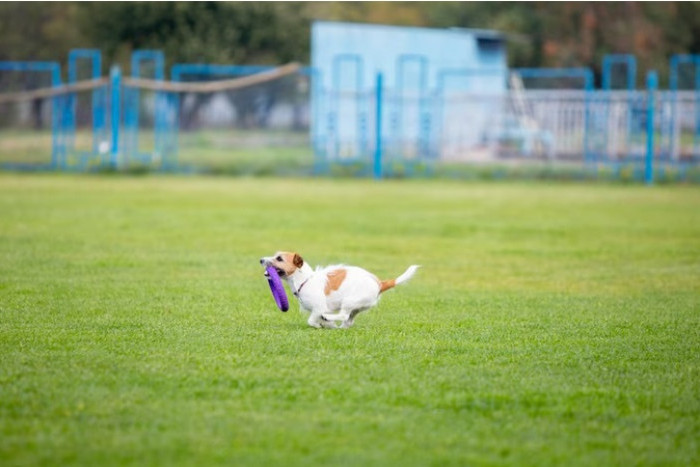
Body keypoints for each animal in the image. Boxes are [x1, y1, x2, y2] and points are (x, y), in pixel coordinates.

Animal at [260, 252, 418, 330]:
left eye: (279, 258)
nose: (261, 260)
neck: (305, 280)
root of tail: (379, 283)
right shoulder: (318, 310)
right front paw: (328, 325)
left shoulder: (319, 308)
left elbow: (311, 320)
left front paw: (319, 324)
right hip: (356, 307)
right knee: (348, 320)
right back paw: (339, 326)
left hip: (349, 301)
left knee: (343, 315)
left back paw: (329, 319)